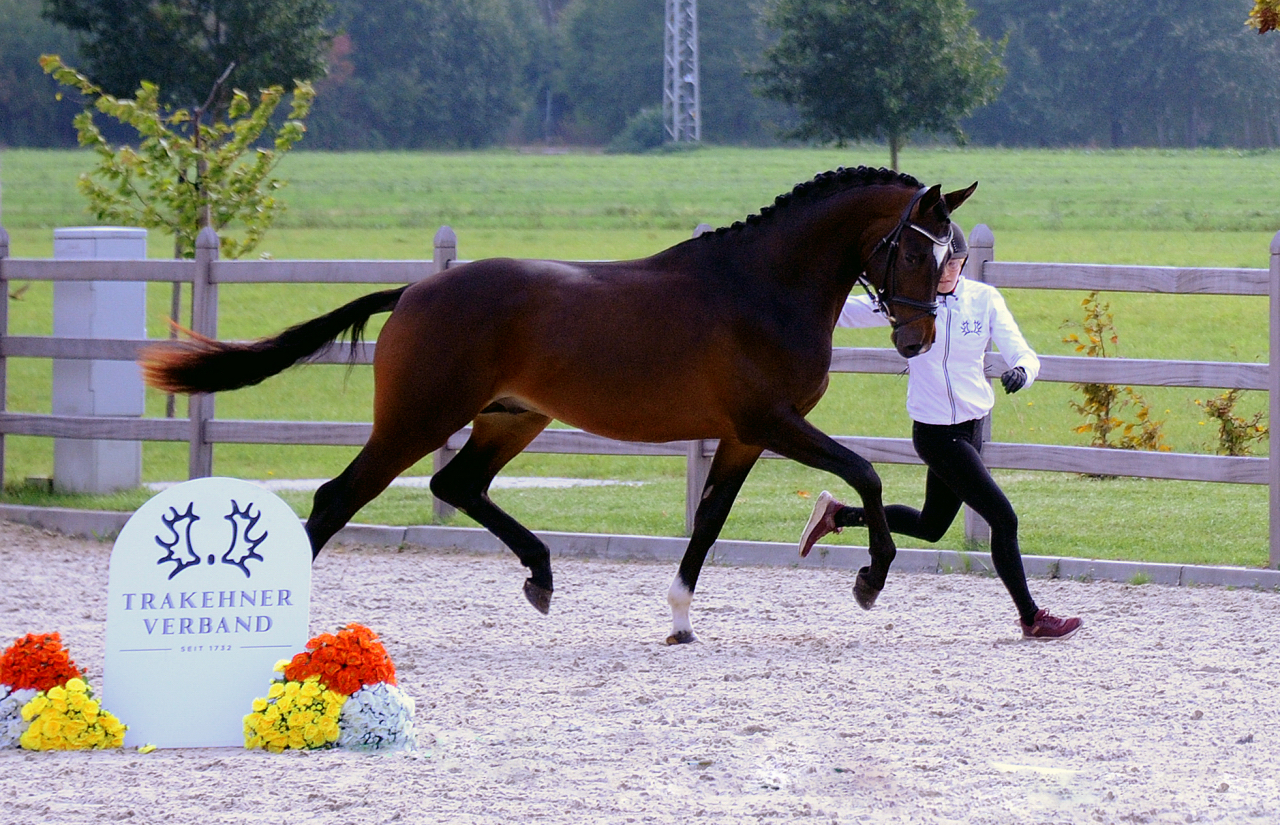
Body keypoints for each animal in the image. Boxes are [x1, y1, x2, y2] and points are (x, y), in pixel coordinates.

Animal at [140, 166, 972, 644]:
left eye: (954, 252)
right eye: (913, 248)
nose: (916, 335)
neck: (760, 287)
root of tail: (414, 290)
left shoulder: (743, 436)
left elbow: (709, 520)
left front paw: (679, 617)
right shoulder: (772, 422)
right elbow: (866, 474)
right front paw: (870, 580)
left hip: (512, 417)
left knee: (455, 483)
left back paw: (541, 574)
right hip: (418, 419)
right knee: (338, 496)